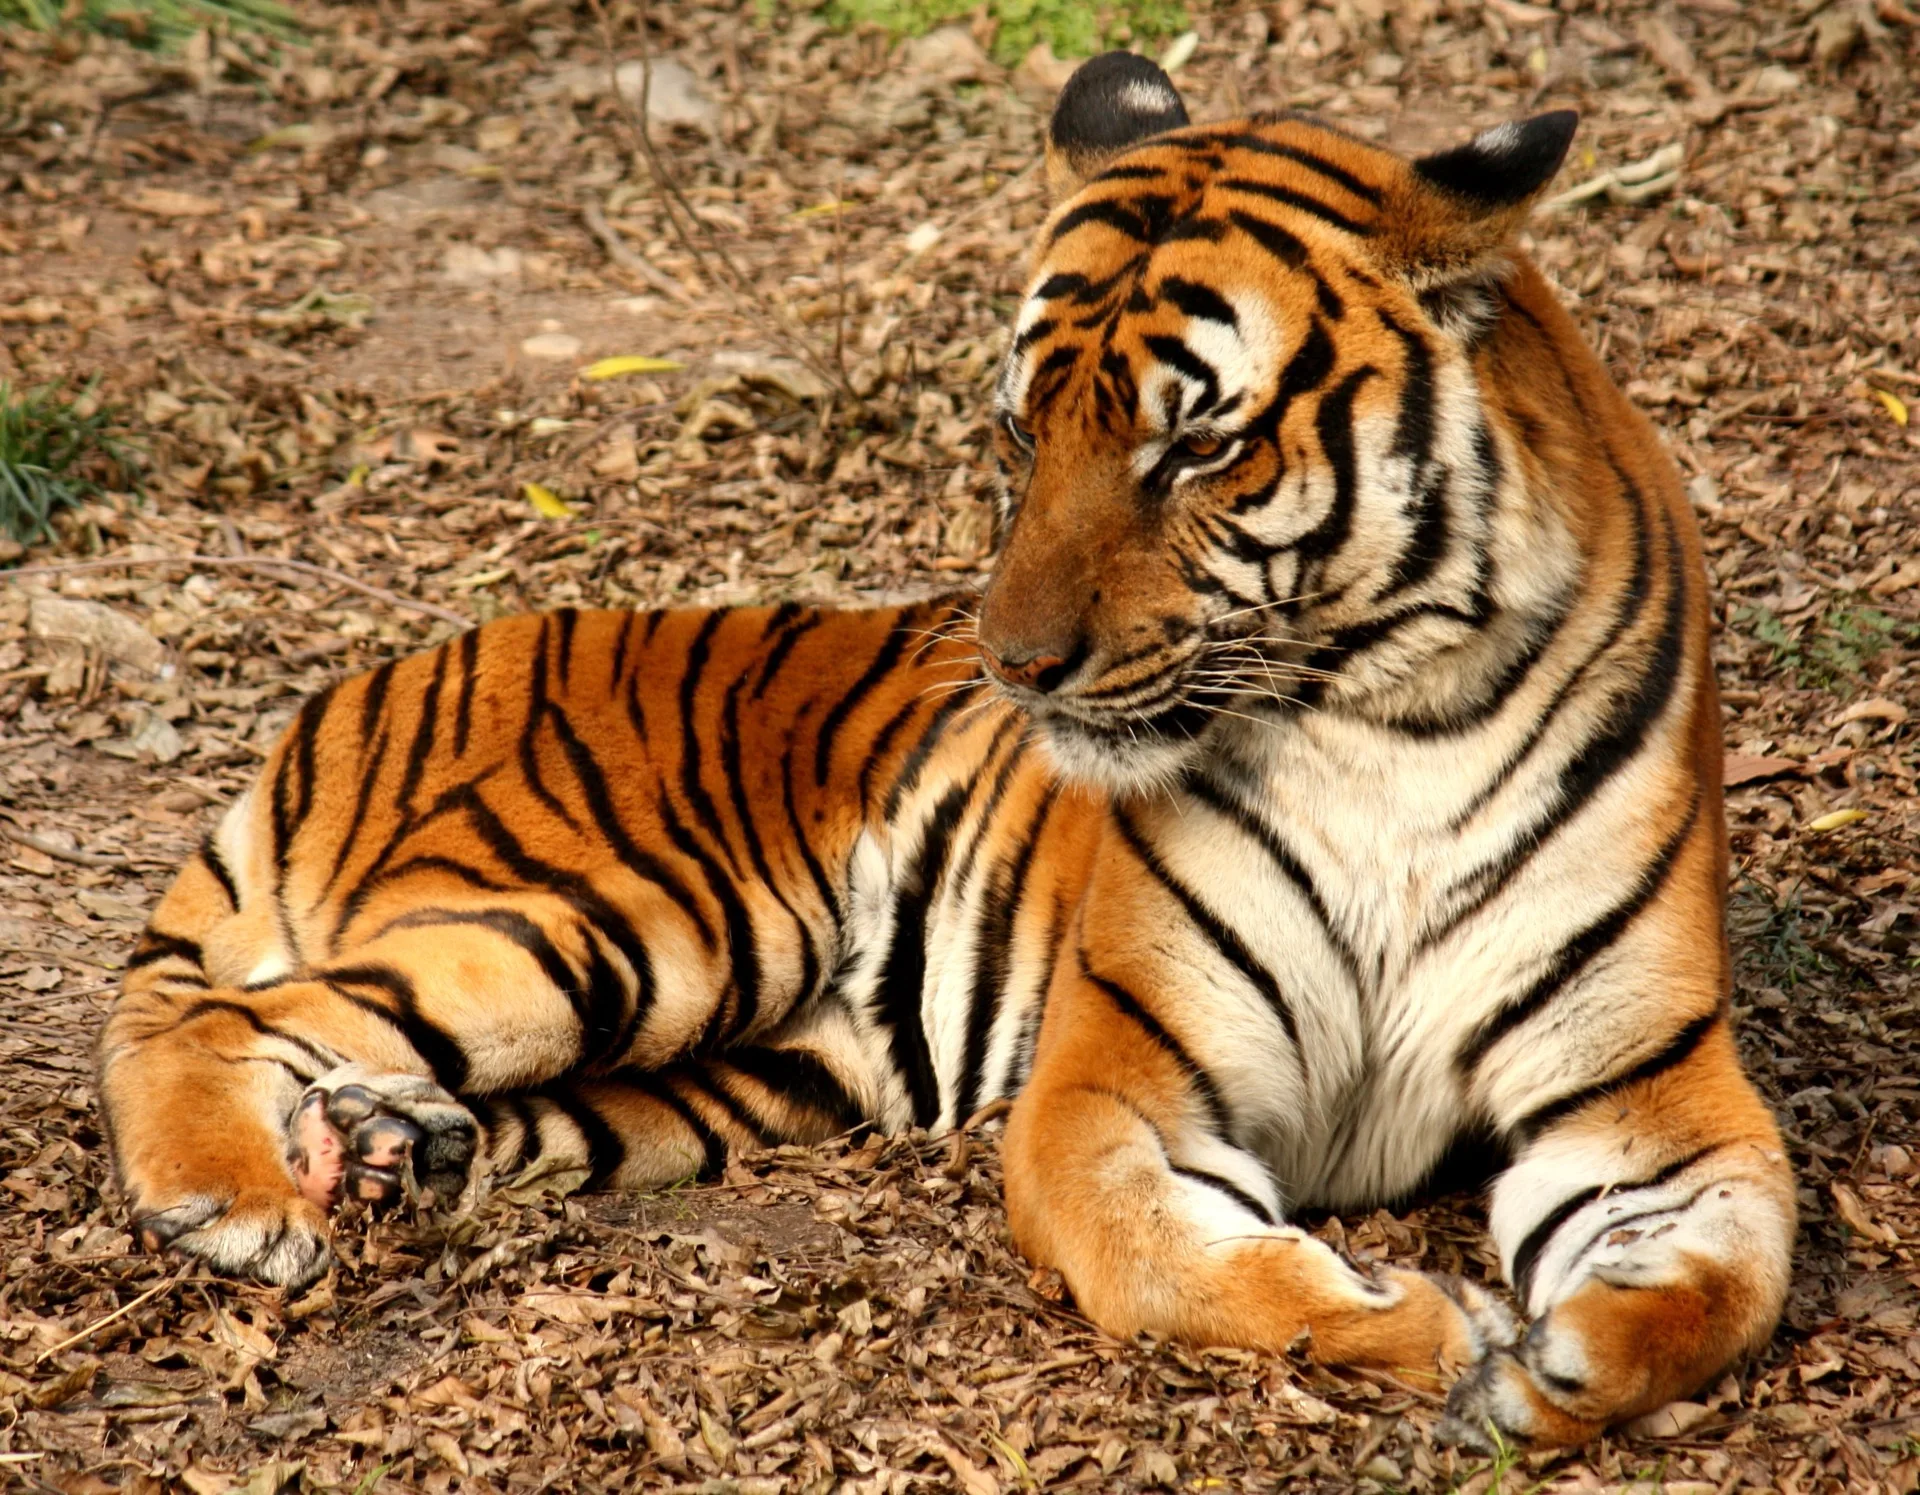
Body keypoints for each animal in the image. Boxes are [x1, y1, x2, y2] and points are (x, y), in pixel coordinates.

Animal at [97, 52, 1794, 1450]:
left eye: (1196, 444)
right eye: (1021, 432)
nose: (1017, 665)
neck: (1384, 716)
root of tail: (372, 681)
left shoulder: (1647, 1093)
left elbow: (1730, 1276)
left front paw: (1559, 1362)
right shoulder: (1117, 1080)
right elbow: (1176, 1261)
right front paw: (1428, 1326)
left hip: (756, 1064)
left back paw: (391, 1149)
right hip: (633, 919)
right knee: (224, 1014)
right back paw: (235, 1200)